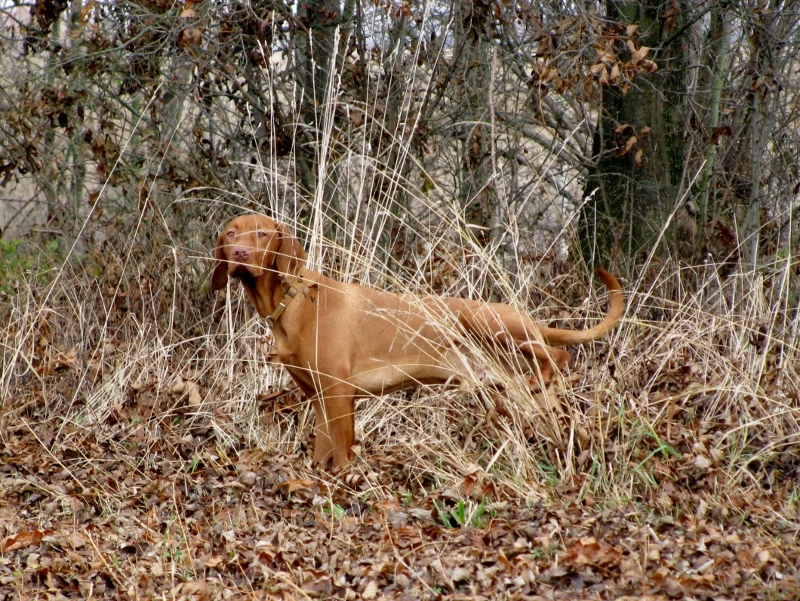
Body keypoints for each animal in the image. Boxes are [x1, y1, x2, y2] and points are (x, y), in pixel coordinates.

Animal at [212, 214, 624, 468]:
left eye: (262, 233)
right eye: (231, 234)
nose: (240, 253)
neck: (290, 300)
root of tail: (529, 318)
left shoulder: (339, 393)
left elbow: (342, 454)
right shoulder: (317, 397)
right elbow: (322, 450)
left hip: (487, 323)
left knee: (558, 353)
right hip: (518, 394)